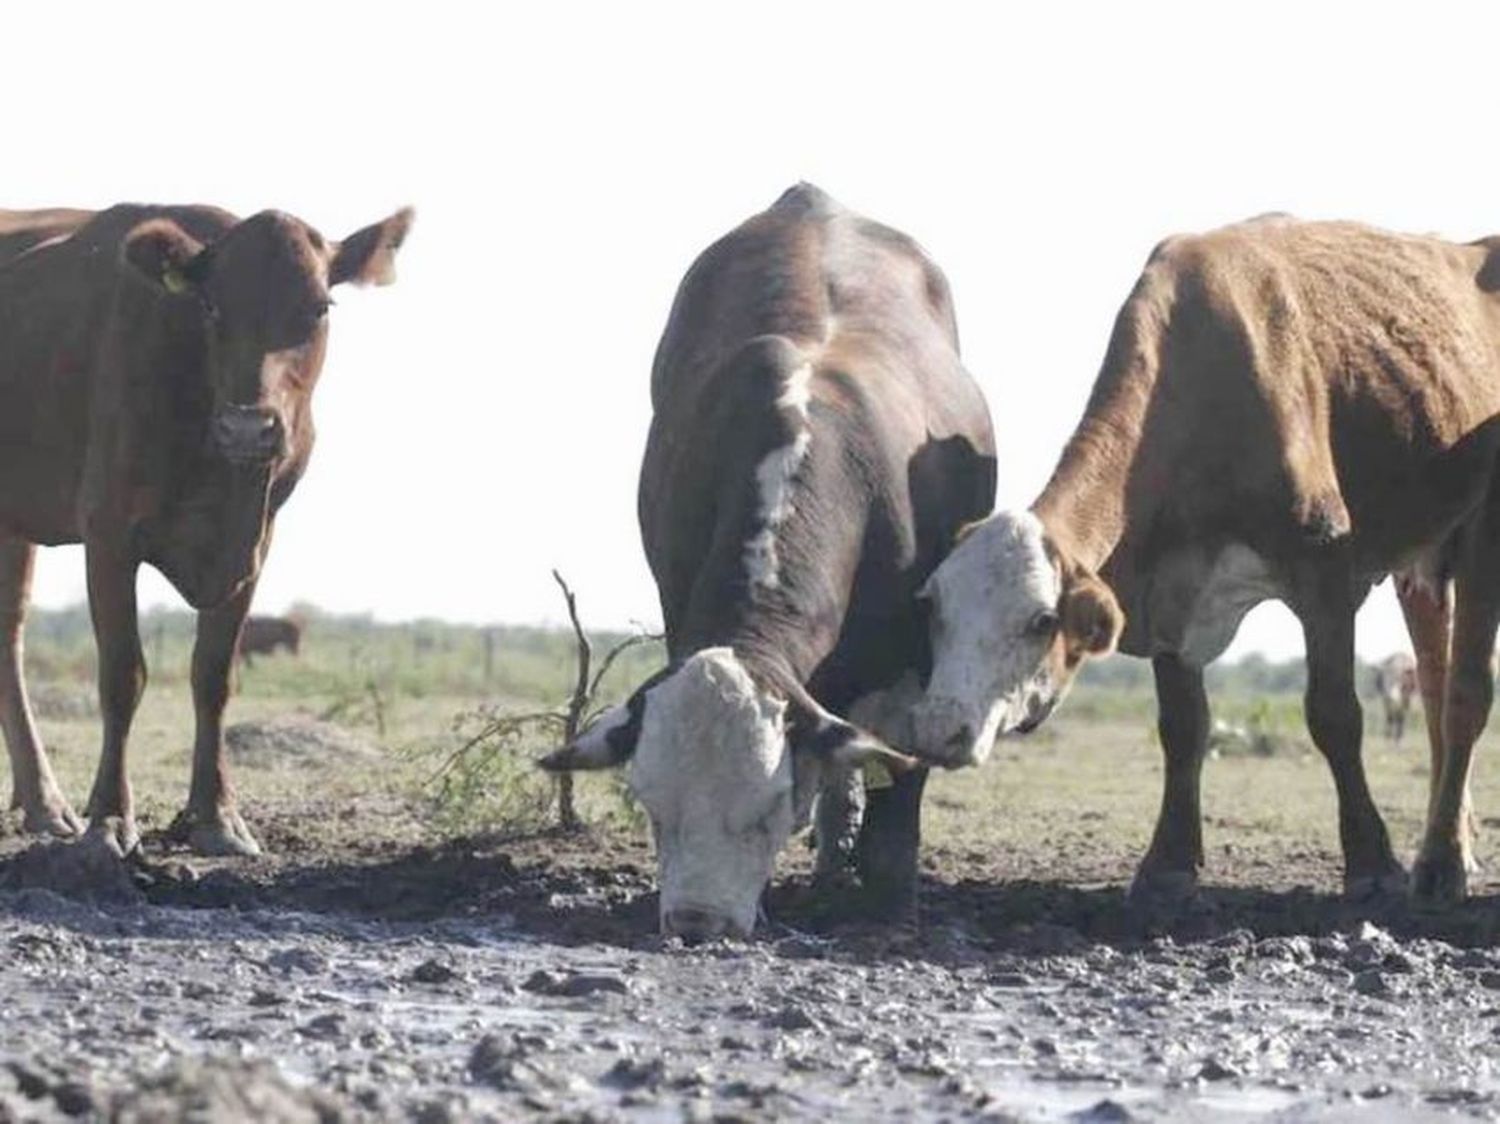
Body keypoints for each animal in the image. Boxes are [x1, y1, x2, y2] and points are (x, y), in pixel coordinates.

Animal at [0, 204, 414, 852]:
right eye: (213, 308)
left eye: (319, 307)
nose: (248, 428)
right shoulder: (108, 530)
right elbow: (123, 674)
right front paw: (110, 818)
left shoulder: (255, 543)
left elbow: (214, 675)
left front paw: (216, 816)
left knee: (8, 630)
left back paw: (43, 804)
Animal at [540, 186, 996, 936]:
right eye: (655, 810)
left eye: (767, 812)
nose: (696, 924)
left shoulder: (917, 660)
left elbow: (896, 791)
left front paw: (890, 906)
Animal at [906, 217, 1500, 900]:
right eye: (933, 608)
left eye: (1039, 621)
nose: (937, 729)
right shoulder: (1168, 587)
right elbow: (1183, 728)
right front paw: (1167, 863)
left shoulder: (1323, 571)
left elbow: (1334, 716)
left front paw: (1372, 862)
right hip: (1422, 562)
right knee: (1433, 686)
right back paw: (1456, 843)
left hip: (1481, 534)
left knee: (1465, 695)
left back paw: (1442, 863)